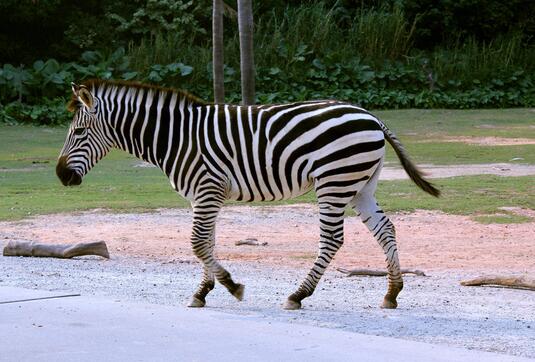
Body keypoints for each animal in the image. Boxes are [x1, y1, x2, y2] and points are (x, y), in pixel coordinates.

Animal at [56, 80, 440, 310]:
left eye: (78, 133)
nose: (60, 175)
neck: (175, 138)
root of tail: (372, 118)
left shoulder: (208, 187)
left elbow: (197, 243)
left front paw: (232, 286)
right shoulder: (204, 195)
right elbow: (206, 242)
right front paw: (203, 292)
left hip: (334, 182)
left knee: (332, 239)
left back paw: (298, 294)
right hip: (361, 184)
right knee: (385, 229)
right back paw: (391, 293)